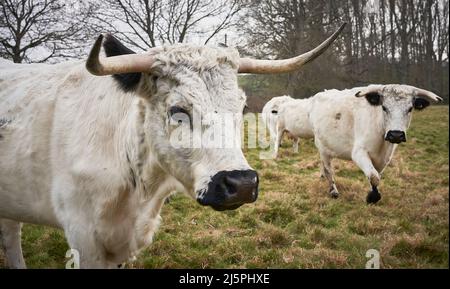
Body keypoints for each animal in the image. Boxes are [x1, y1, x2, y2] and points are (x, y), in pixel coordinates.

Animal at [310, 84, 442, 202]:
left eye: (410, 109)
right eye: (384, 107)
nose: (396, 134)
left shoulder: (385, 158)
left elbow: (376, 175)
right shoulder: (359, 152)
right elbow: (374, 177)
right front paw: (373, 197)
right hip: (323, 149)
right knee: (328, 170)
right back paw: (333, 191)